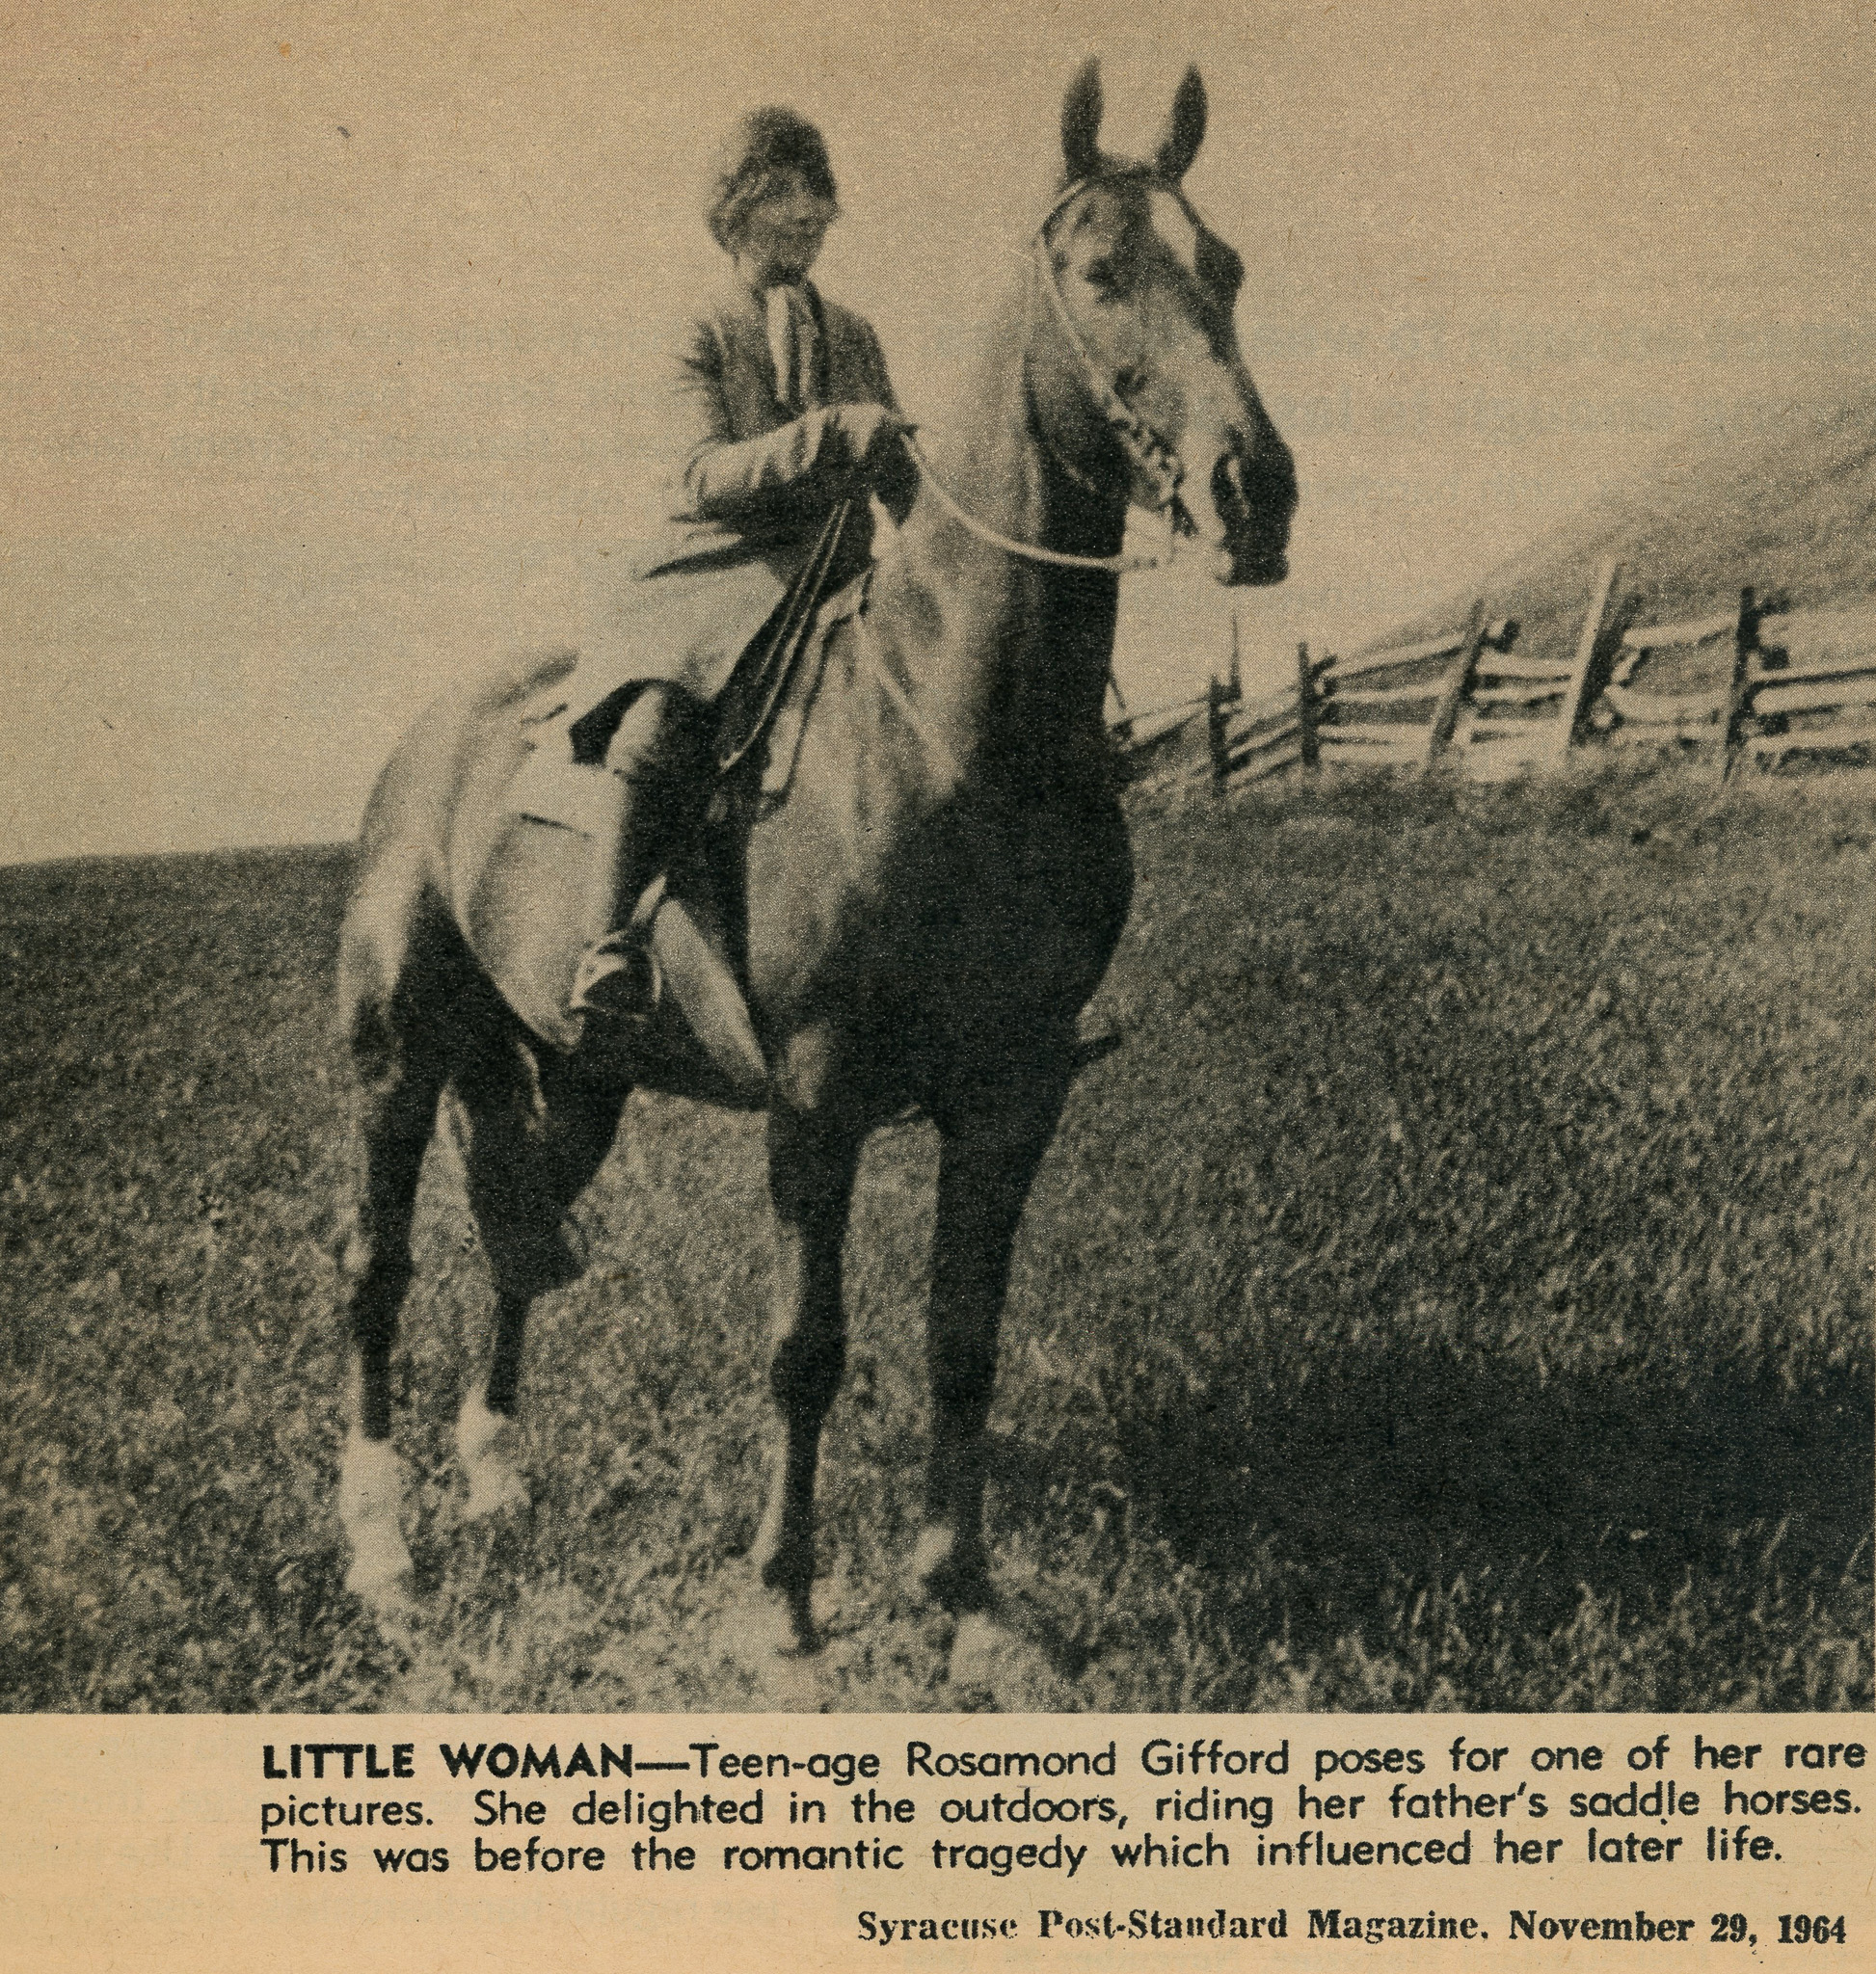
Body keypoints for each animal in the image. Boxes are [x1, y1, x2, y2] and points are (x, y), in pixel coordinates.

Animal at [334, 57, 1295, 1666]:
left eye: (1222, 266)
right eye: (1101, 270)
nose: (1254, 493)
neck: (953, 726)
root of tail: (432, 740)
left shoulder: (1015, 1089)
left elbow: (961, 1336)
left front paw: (959, 1587)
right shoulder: (817, 1093)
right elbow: (807, 1346)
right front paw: (783, 1592)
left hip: (574, 1070)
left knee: (517, 1239)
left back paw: (496, 1475)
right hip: (397, 1056)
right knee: (379, 1266)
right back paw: (381, 1548)